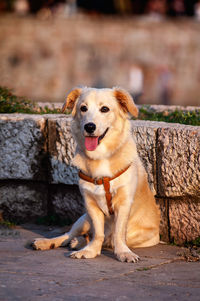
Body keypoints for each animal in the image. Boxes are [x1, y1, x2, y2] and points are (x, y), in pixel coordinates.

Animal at [32, 85, 160, 262]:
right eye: (83, 108)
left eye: (104, 109)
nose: (89, 127)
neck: (101, 157)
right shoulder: (90, 203)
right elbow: (98, 234)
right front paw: (90, 250)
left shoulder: (124, 203)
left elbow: (117, 234)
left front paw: (123, 252)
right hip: (83, 219)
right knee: (68, 235)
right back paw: (48, 242)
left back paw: (78, 242)